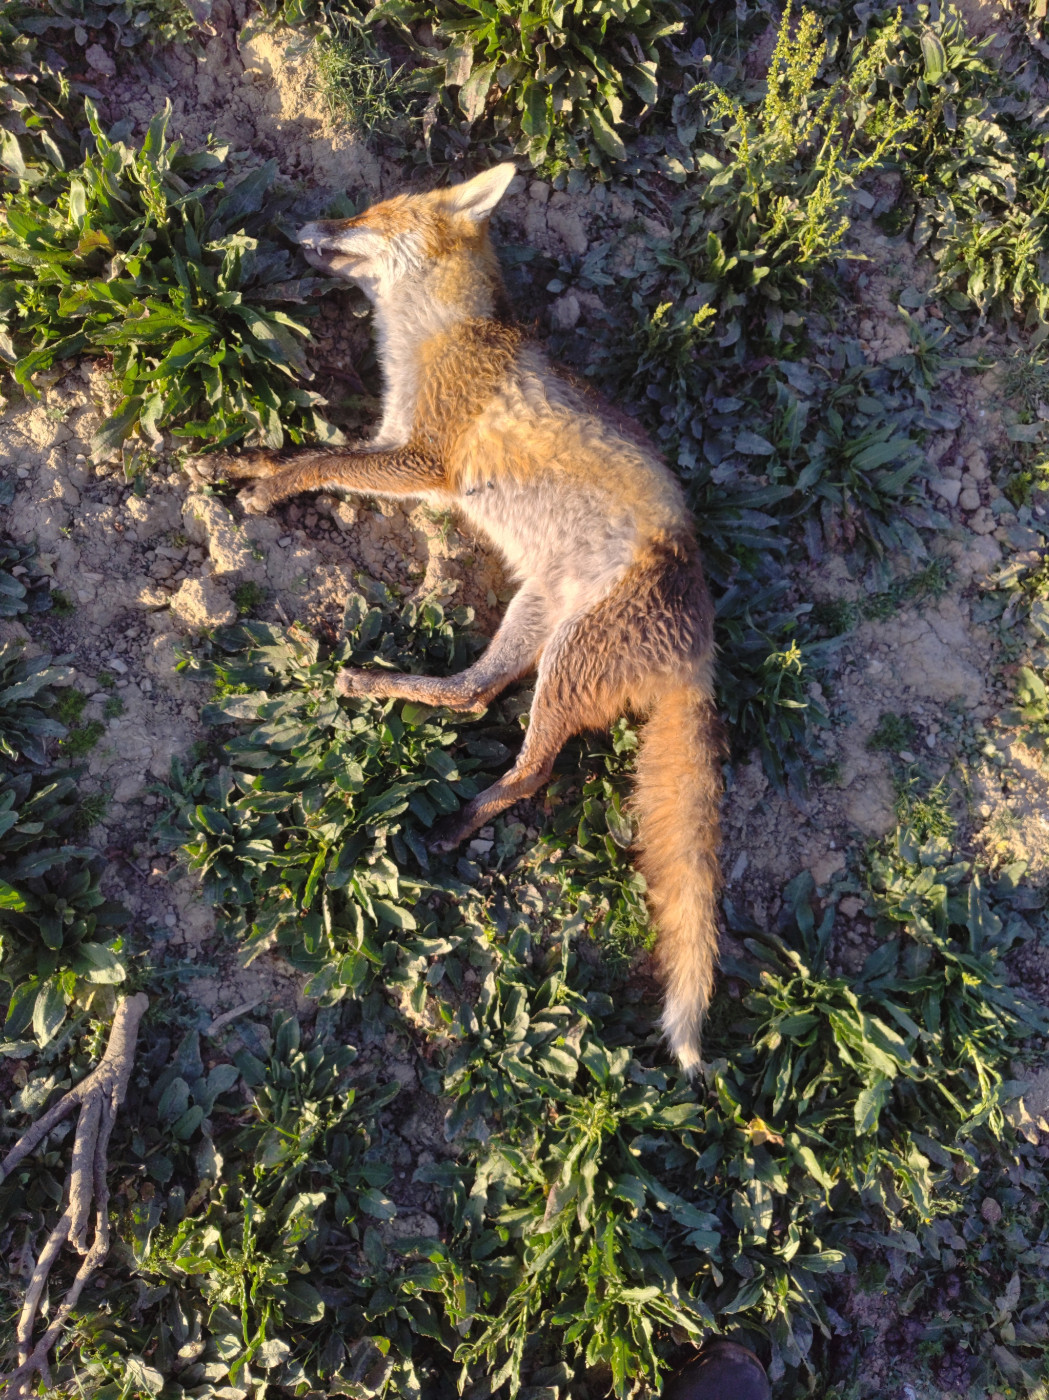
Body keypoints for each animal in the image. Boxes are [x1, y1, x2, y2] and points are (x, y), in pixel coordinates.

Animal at [194, 163, 724, 1073]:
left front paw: (265, 492)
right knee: (472, 694)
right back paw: (369, 684)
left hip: (566, 661)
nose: (302, 226)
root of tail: (701, 644)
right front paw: (241, 461)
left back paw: (458, 825)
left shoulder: (420, 461)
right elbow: (306, 450)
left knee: (532, 770)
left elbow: (321, 463)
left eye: (371, 215)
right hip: (532, 617)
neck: (436, 336)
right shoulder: (390, 439)